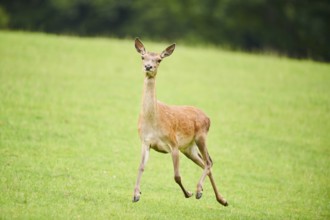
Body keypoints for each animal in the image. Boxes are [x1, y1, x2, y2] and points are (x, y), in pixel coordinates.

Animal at [133, 38, 228, 206]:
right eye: (143, 57)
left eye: (159, 59)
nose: (148, 66)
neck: (153, 122)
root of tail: (208, 117)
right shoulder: (145, 142)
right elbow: (141, 167)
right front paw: (136, 194)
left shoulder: (173, 143)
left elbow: (176, 176)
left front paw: (188, 193)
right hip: (189, 148)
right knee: (206, 162)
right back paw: (221, 199)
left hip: (201, 136)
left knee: (209, 162)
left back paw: (199, 191)